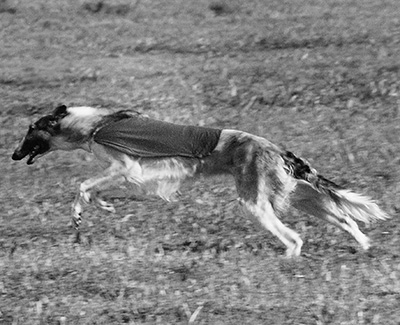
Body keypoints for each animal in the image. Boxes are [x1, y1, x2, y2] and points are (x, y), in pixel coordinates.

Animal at [11, 104, 388, 256]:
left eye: (31, 130)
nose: (13, 155)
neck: (96, 125)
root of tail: (276, 148)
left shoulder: (126, 167)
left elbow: (83, 186)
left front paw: (79, 214)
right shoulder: (125, 173)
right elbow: (95, 190)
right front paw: (102, 206)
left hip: (255, 201)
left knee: (294, 238)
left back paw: (288, 259)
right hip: (300, 196)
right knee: (346, 220)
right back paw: (364, 246)